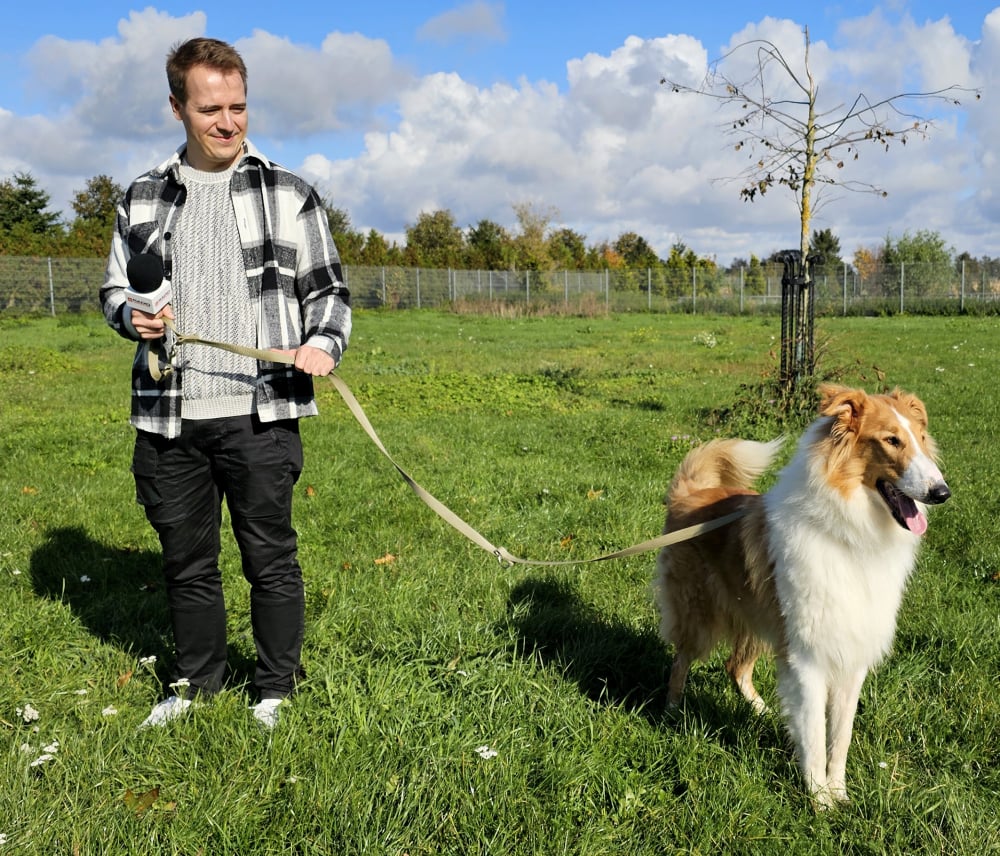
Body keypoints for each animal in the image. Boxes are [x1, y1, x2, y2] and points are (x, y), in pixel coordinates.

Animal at [652, 384, 948, 804]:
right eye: (891, 440)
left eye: (921, 438)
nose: (942, 492)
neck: (849, 533)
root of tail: (691, 493)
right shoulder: (807, 657)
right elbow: (814, 735)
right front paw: (820, 801)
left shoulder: (850, 657)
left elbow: (840, 736)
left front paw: (839, 795)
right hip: (700, 615)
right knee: (681, 662)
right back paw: (672, 714)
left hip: (758, 620)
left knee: (735, 667)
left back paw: (763, 712)